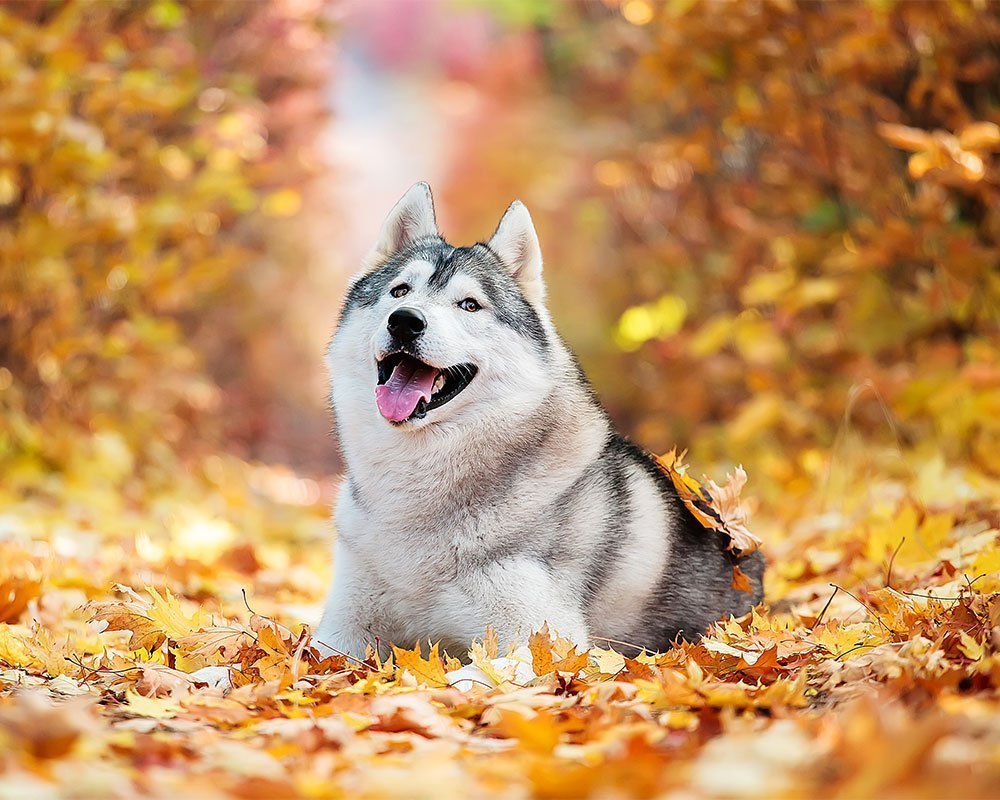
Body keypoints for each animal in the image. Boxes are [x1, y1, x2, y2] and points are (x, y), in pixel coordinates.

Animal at [316, 184, 760, 660]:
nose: (404, 321)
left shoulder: (542, 641)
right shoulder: (339, 633)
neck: (417, 488)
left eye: (470, 305)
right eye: (400, 291)